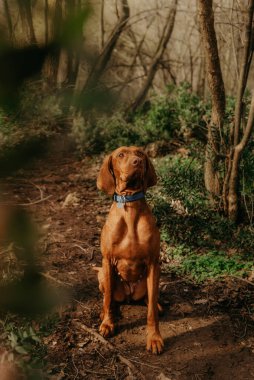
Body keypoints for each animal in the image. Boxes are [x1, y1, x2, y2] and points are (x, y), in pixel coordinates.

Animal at [96, 145, 164, 354]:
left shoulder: (153, 262)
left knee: (150, 299)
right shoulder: (107, 260)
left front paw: (154, 338)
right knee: (109, 298)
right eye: (120, 155)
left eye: (140, 153)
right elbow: (108, 300)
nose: (138, 162)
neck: (130, 205)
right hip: (102, 274)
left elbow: (150, 313)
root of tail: (128, 295)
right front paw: (107, 324)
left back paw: (157, 304)